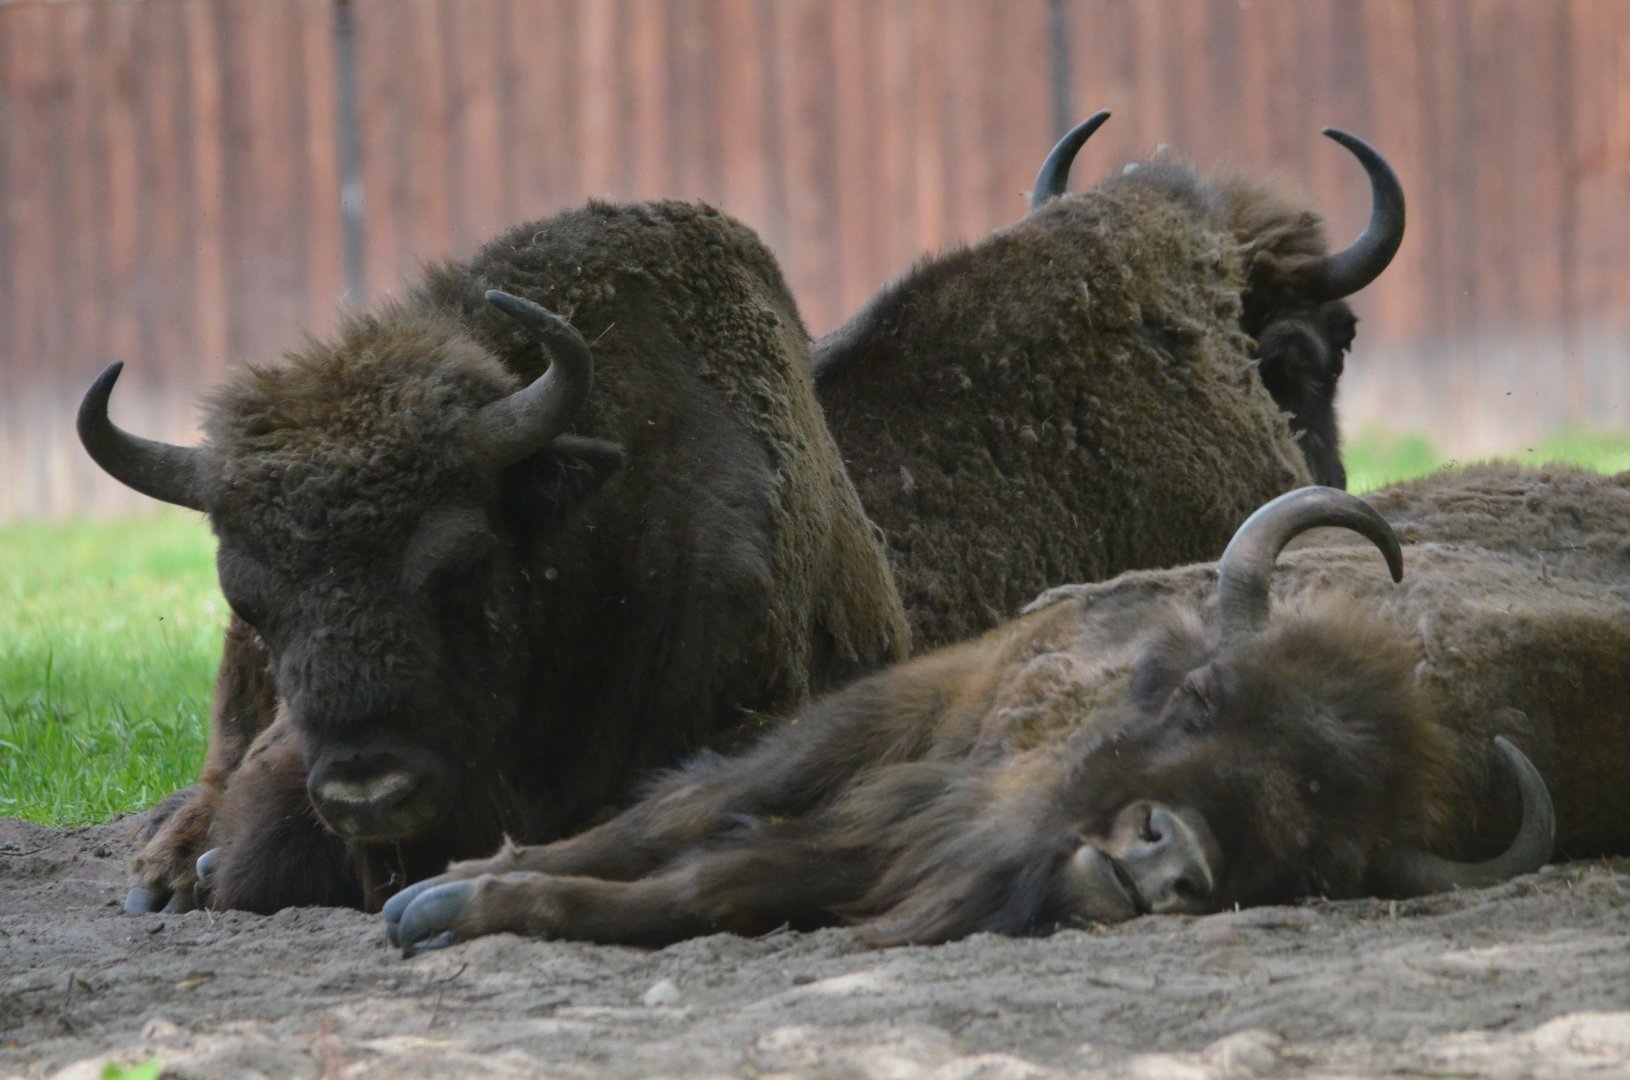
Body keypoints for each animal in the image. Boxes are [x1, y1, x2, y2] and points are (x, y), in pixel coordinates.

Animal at [385, 465, 1630, 953]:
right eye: (1201, 697)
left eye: (1317, 858)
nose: (1168, 863)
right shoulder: (886, 736)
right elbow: (678, 825)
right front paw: (439, 897)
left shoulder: (893, 851)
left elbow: (708, 884)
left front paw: (462, 904)